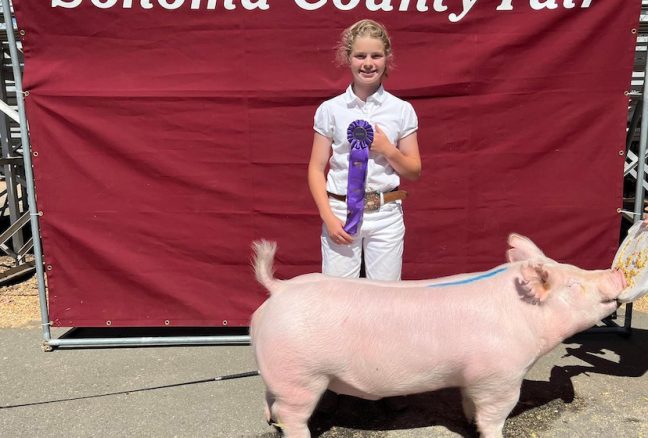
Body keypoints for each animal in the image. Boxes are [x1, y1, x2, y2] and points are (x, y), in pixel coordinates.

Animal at [249, 234, 628, 436]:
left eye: (572, 267)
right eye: (574, 284)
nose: (617, 273)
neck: (521, 315)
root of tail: (279, 288)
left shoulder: (473, 379)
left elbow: (469, 403)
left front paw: (468, 421)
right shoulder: (501, 377)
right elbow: (497, 413)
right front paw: (491, 431)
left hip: (281, 373)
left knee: (271, 399)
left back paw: (268, 420)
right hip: (302, 376)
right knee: (293, 415)